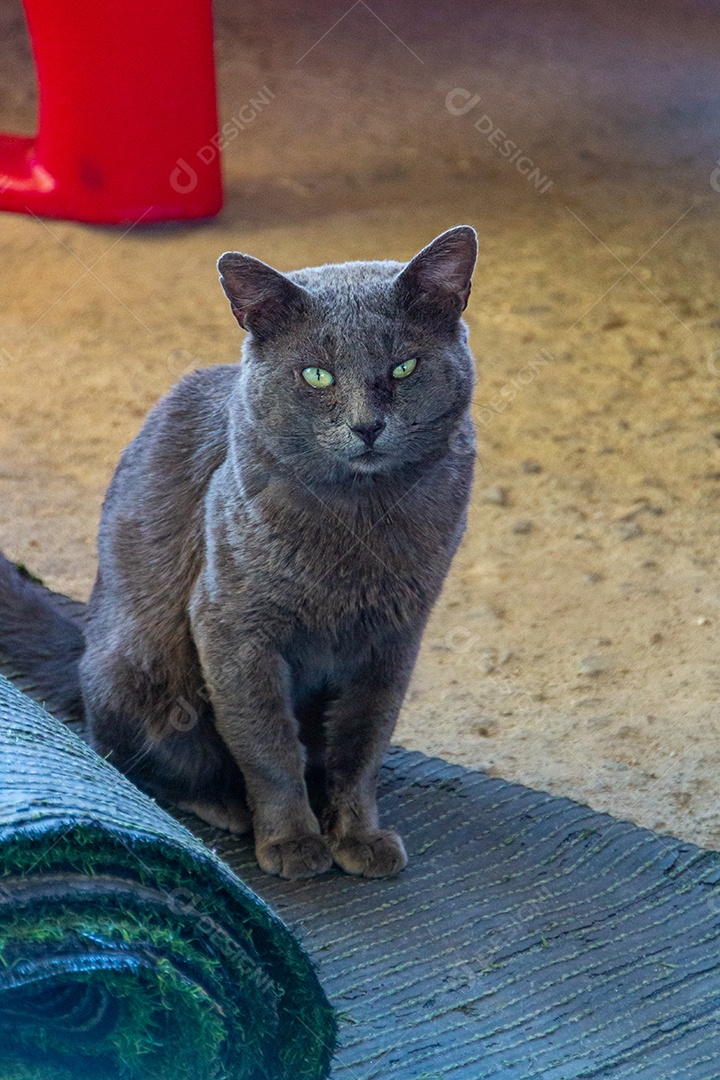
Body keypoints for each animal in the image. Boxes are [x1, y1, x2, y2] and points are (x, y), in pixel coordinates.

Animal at [0, 225, 479, 876]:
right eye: (317, 376)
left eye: (404, 367)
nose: (366, 426)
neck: (359, 518)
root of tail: (84, 651)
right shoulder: (231, 625)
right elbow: (267, 744)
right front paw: (292, 842)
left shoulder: (395, 637)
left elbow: (361, 745)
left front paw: (357, 836)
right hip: (144, 659)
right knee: (130, 759)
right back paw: (227, 807)